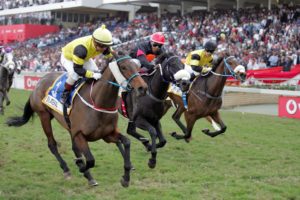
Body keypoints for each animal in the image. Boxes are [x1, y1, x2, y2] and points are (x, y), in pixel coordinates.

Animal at [6, 51, 148, 186]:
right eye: (123, 67)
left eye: (137, 66)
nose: (143, 88)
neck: (98, 101)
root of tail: (39, 82)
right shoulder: (80, 134)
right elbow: (90, 159)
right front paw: (83, 170)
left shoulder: (107, 134)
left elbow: (127, 142)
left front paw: (126, 177)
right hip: (44, 116)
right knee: (52, 144)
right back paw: (66, 169)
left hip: (68, 124)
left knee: (74, 147)